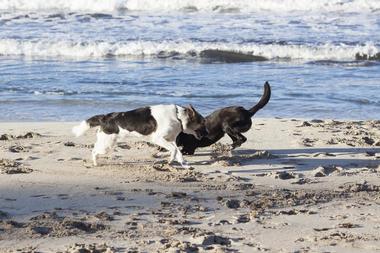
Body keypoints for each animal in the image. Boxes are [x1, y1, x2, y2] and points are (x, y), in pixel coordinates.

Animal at [72, 105, 206, 168]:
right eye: (203, 122)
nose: (207, 134)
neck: (178, 116)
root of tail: (105, 117)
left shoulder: (170, 140)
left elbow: (178, 151)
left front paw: (182, 163)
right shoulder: (158, 139)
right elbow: (174, 150)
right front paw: (171, 160)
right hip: (107, 144)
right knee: (94, 151)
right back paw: (95, 163)